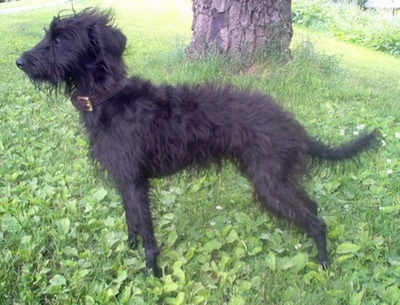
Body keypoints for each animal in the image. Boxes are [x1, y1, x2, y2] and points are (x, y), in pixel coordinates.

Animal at [15, 7, 378, 274]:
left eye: (60, 40)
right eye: (48, 35)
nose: (19, 62)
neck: (109, 98)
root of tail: (293, 124)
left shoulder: (134, 181)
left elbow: (145, 227)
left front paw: (152, 272)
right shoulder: (123, 179)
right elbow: (132, 222)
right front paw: (128, 251)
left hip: (270, 183)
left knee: (317, 221)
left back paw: (324, 264)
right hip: (275, 181)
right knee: (312, 207)